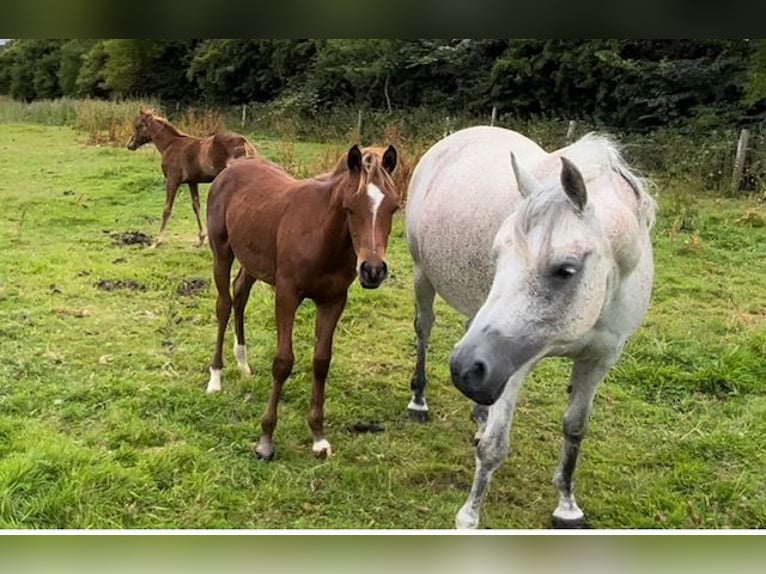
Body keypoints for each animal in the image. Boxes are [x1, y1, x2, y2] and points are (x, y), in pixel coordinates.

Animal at [127, 110, 258, 248]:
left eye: (138, 126)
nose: (130, 145)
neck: (170, 145)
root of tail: (244, 143)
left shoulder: (172, 180)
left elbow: (167, 209)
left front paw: (157, 241)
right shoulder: (192, 182)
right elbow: (196, 206)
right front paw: (200, 239)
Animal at [207, 145, 402, 464]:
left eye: (394, 207)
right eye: (350, 207)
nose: (373, 270)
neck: (324, 236)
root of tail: (232, 166)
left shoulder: (333, 300)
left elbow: (321, 362)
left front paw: (318, 437)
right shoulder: (286, 294)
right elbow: (283, 362)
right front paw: (265, 440)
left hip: (253, 260)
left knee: (240, 294)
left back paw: (243, 364)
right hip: (222, 252)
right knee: (224, 304)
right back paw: (215, 378)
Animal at [404, 127, 656, 532]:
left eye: (565, 270)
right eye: (497, 256)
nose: (463, 370)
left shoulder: (599, 360)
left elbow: (575, 428)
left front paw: (567, 506)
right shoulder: (512, 363)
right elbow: (494, 448)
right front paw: (469, 517)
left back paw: (479, 414)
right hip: (423, 276)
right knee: (424, 331)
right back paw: (419, 401)